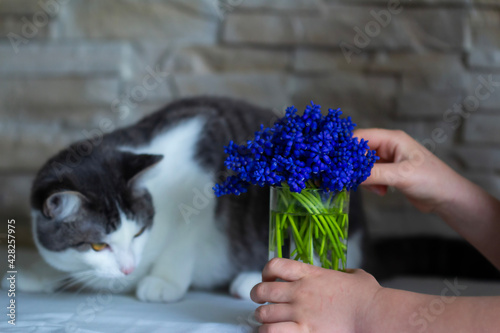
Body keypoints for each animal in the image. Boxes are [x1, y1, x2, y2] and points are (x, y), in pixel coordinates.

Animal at [6, 95, 368, 300]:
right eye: (97, 245)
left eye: (138, 232)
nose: (129, 268)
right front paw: (39, 272)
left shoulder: (201, 181)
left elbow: (183, 239)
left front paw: (163, 282)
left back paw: (254, 278)